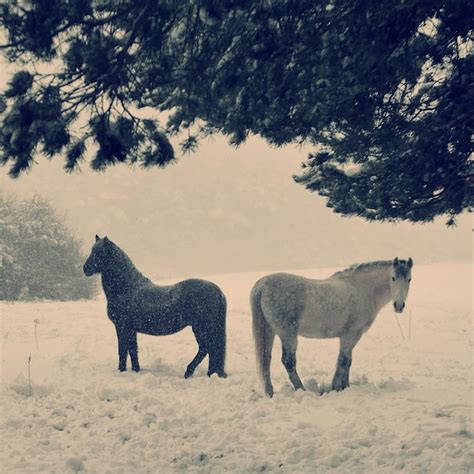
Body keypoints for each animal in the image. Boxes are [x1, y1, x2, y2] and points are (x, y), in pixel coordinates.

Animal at [83, 236, 228, 378]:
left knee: (206, 348)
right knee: (211, 349)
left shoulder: (122, 327)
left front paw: (121, 371)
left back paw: (189, 372)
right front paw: (135, 370)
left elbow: (123, 350)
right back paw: (210, 374)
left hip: (201, 327)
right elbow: (133, 350)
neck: (127, 289)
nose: (85, 268)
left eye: (99, 253)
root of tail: (218, 292)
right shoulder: (131, 329)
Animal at [252, 258, 412, 394]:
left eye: (409, 279)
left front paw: (343, 386)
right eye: (393, 278)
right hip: (288, 335)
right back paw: (302, 390)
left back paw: (269, 392)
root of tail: (262, 285)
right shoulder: (351, 335)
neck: (362, 289)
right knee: (288, 361)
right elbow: (344, 360)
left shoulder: (349, 337)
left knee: (266, 358)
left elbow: (346, 361)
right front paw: (339, 387)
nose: (399, 306)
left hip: (270, 331)